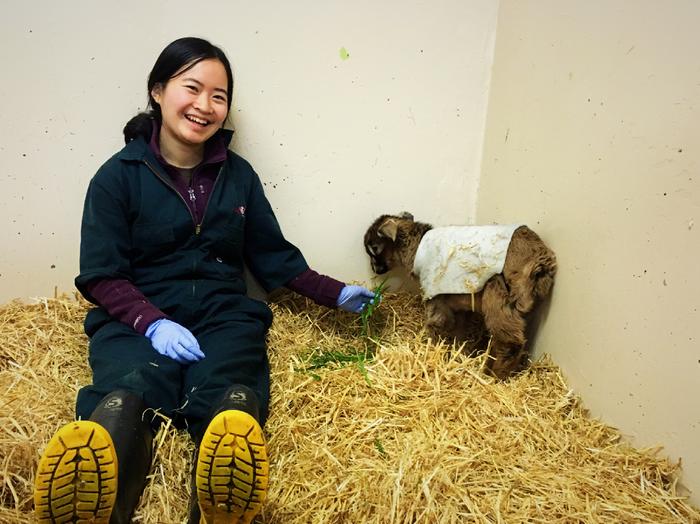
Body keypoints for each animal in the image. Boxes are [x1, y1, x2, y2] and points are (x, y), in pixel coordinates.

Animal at [364, 213, 556, 380]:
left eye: (374, 248)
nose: (374, 269)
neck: (417, 248)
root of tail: (542, 259)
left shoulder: (435, 296)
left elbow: (436, 324)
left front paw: (432, 353)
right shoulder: (460, 302)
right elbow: (459, 330)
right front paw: (459, 353)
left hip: (499, 290)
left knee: (509, 341)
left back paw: (494, 376)